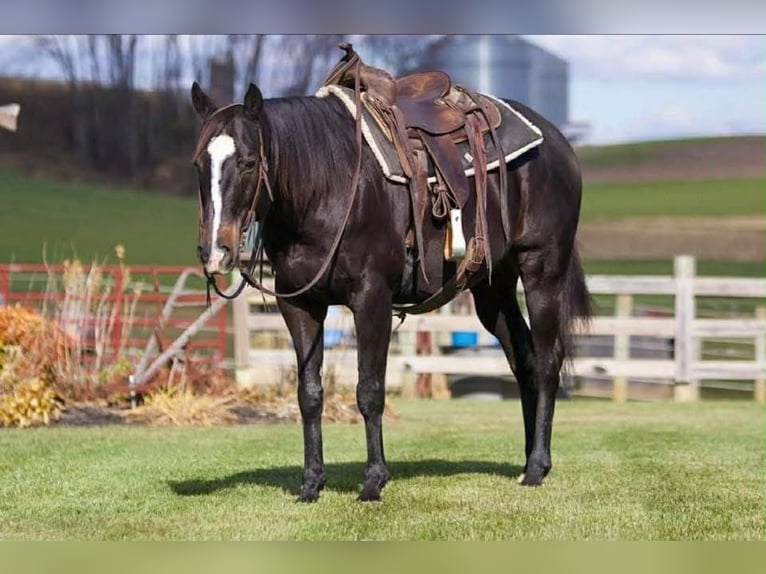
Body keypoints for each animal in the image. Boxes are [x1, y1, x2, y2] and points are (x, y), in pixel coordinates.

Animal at [190, 76, 591, 502]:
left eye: (248, 163)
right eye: (199, 164)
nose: (215, 250)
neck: (328, 185)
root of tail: (558, 143)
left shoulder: (372, 299)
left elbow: (369, 390)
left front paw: (373, 481)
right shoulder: (300, 305)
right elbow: (309, 394)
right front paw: (311, 483)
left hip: (541, 270)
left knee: (547, 361)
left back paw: (537, 467)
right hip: (493, 289)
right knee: (524, 359)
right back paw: (530, 461)